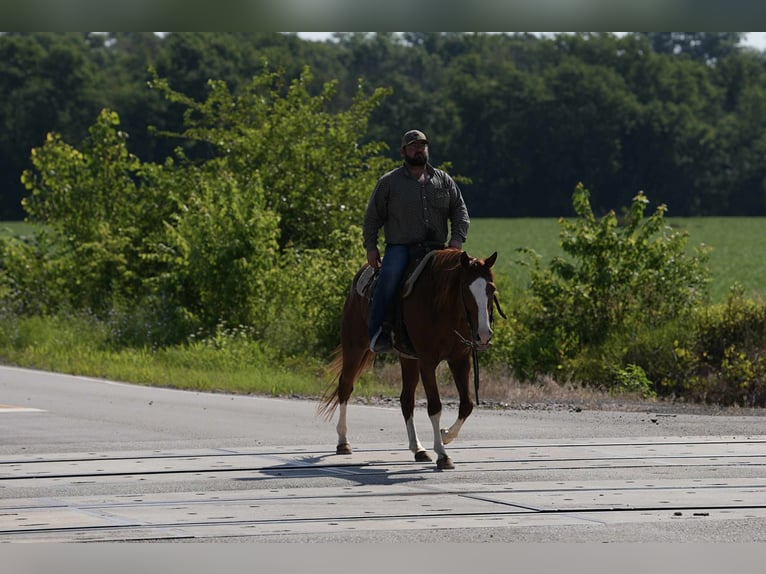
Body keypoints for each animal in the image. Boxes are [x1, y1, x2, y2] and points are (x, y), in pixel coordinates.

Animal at [318, 248, 503, 470]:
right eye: (466, 290)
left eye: (491, 289)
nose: (483, 335)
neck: (439, 306)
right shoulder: (427, 362)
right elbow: (435, 407)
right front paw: (442, 454)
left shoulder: (460, 360)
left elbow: (466, 404)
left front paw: (445, 435)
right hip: (355, 346)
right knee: (345, 386)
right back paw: (343, 442)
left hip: (407, 358)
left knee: (406, 399)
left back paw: (418, 449)